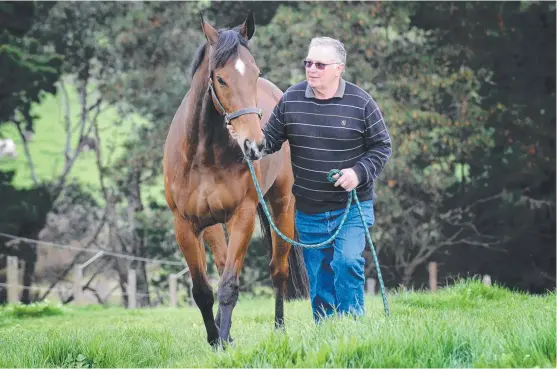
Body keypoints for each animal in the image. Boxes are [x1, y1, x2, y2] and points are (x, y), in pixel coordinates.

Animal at [163, 10, 308, 346]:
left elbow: (229, 285)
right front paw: (216, 338)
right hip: (212, 224)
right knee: (220, 265)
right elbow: (203, 290)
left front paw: (223, 340)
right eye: (221, 78)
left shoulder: (242, 216)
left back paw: (279, 329)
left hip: (282, 206)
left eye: (254, 73)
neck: (202, 155)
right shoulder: (185, 224)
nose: (255, 145)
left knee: (278, 271)